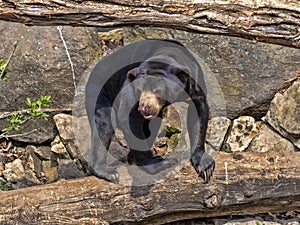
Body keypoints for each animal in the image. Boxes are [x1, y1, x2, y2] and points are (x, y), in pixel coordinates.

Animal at [85, 39, 214, 183]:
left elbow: (198, 114)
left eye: (158, 90)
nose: (143, 107)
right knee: (104, 125)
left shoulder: (194, 83)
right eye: (139, 90)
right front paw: (157, 163)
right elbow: (128, 119)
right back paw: (107, 171)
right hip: (100, 91)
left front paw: (205, 167)